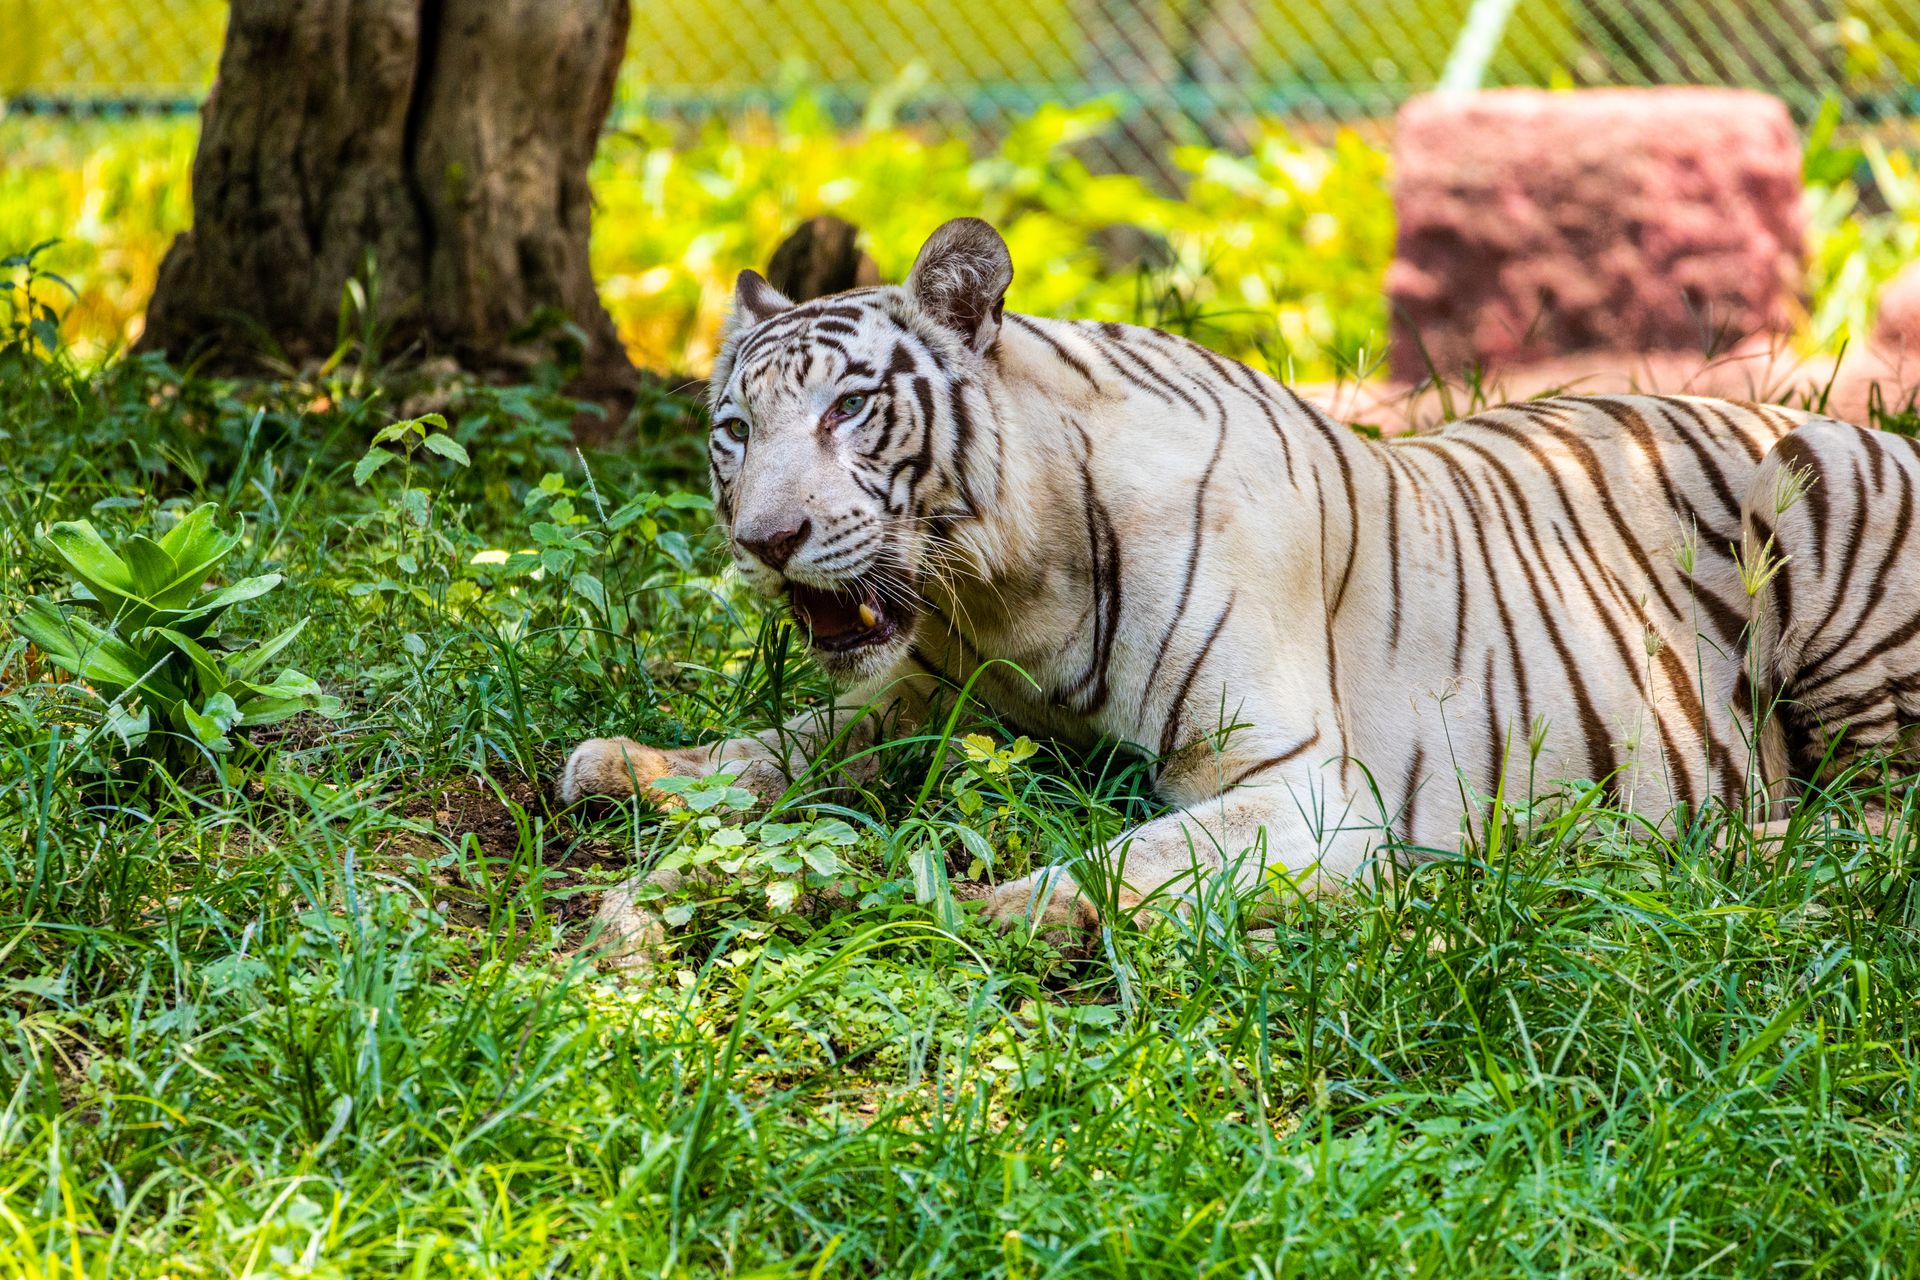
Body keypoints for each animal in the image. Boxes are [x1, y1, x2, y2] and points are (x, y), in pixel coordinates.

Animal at [562, 216, 1920, 958]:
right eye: (734, 428)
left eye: (849, 407)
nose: (765, 537)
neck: (1006, 584)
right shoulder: (930, 698)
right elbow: (788, 740)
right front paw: (636, 767)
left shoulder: (1300, 787)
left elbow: (1117, 862)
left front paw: (972, 905)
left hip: (1827, 515)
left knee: (1875, 820)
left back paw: (1710, 848)